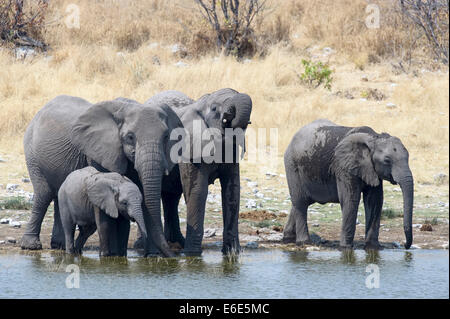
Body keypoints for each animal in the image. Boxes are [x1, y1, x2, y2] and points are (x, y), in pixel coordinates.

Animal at [19, 95, 181, 258]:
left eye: (166, 136)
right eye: (130, 137)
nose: (174, 257)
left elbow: (143, 193)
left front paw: (151, 255)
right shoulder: (99, 150)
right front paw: (113, 255)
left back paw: (59, 246)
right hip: (33, 155)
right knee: (44, 195)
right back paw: (31, 246)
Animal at [145, 88, 253, 258]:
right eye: (214, 108)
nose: (229, 115)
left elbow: (232, 192)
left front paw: (233, 253)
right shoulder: (188, 149)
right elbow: (197, 191)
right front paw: (193, 255)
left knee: (171, 197)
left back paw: (177, 244)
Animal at [284, 119, 414, 250]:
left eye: (408, 157)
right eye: (387, 160)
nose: (405, 245)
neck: (374, 137)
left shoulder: (372, 170)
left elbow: (375, 200)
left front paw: (373, 248)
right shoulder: (344, 166)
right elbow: (350, 200)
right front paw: (345, 248)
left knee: (301, 202)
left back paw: (288, 238)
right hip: (292, 166)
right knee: (300, 202)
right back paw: (304, 242)